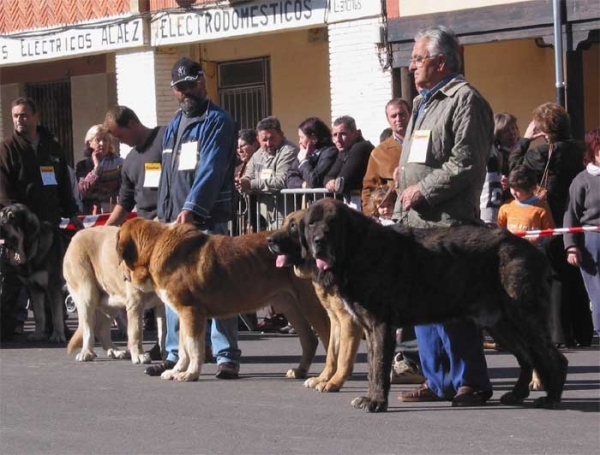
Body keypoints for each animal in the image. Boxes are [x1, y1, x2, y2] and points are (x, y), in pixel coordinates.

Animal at [0, 203, 66, 342]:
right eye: (1, 216)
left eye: (13, 218)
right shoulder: (34, 288)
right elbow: (39, 315)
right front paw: (38, 334)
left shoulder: (53, 287)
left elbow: (56, 314)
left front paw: (57, 335)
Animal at [115, 219, 330, 382]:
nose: (120, 273)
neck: (154, 247)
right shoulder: (185, 314)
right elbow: (184, 347)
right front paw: (177, 370)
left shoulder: (191, 311)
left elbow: (193, 347)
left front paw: (190, 374)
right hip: (290, 305)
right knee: (309, 340)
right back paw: (300, 371)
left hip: (311, 304)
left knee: (328, 337)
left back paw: (326, 376)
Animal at [268, 212, 364, 394]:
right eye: (283, 223)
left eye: (293, 226)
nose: (268, 240)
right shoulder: (336, 319)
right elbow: (332, 354)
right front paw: (324, 378)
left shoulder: (349, 320)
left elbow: (343, 358)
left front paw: (334, 382)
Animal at [300, 200, 568, 414]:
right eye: (311, 224)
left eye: (333, 223)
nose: (319, 242)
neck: (357, 250)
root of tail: (534, 251)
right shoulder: (370, 327)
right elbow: (372, 366)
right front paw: (371, 398)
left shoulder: (381, 325)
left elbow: (379, 366)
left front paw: (376, 402)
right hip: (501, 324)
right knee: (527, 357)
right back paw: (518, 393)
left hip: (524, 317)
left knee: (552, 357)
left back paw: (551, 397)